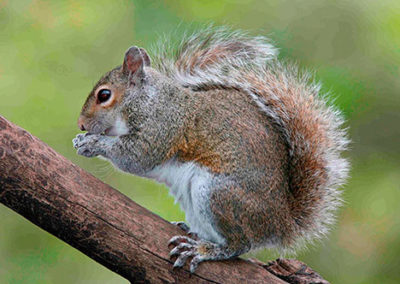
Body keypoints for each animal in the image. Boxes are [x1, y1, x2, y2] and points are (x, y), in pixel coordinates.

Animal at [72, 26, 350, 272]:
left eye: (104, 95)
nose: (81, 124)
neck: (147, 100)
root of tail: (282, 223)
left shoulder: (162, 128)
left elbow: (136, 156)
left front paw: (91, 143)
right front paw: (82, 139)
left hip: (217, 194)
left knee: (240, 244)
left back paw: (203, 250)